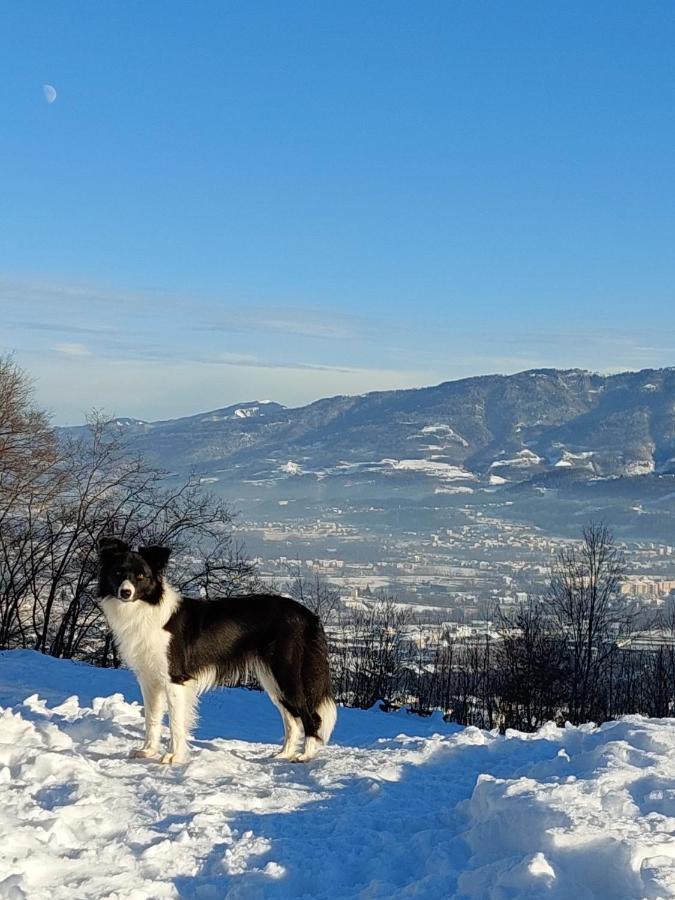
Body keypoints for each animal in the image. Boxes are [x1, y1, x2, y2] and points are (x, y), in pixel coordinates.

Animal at [97, 536, 336, 764]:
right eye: (118, 572)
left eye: (141, 576)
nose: (125, 592)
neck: (146, 608)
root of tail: (308, 615)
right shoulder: (150, 680)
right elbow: (152, 719)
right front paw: (148, 751)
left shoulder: (175, 679)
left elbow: (175, 722)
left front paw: (174, 756)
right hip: (272, 679)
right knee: (292, 719)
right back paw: (283, 754)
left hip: (286, 674)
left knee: (311, 716)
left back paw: (304, 756)